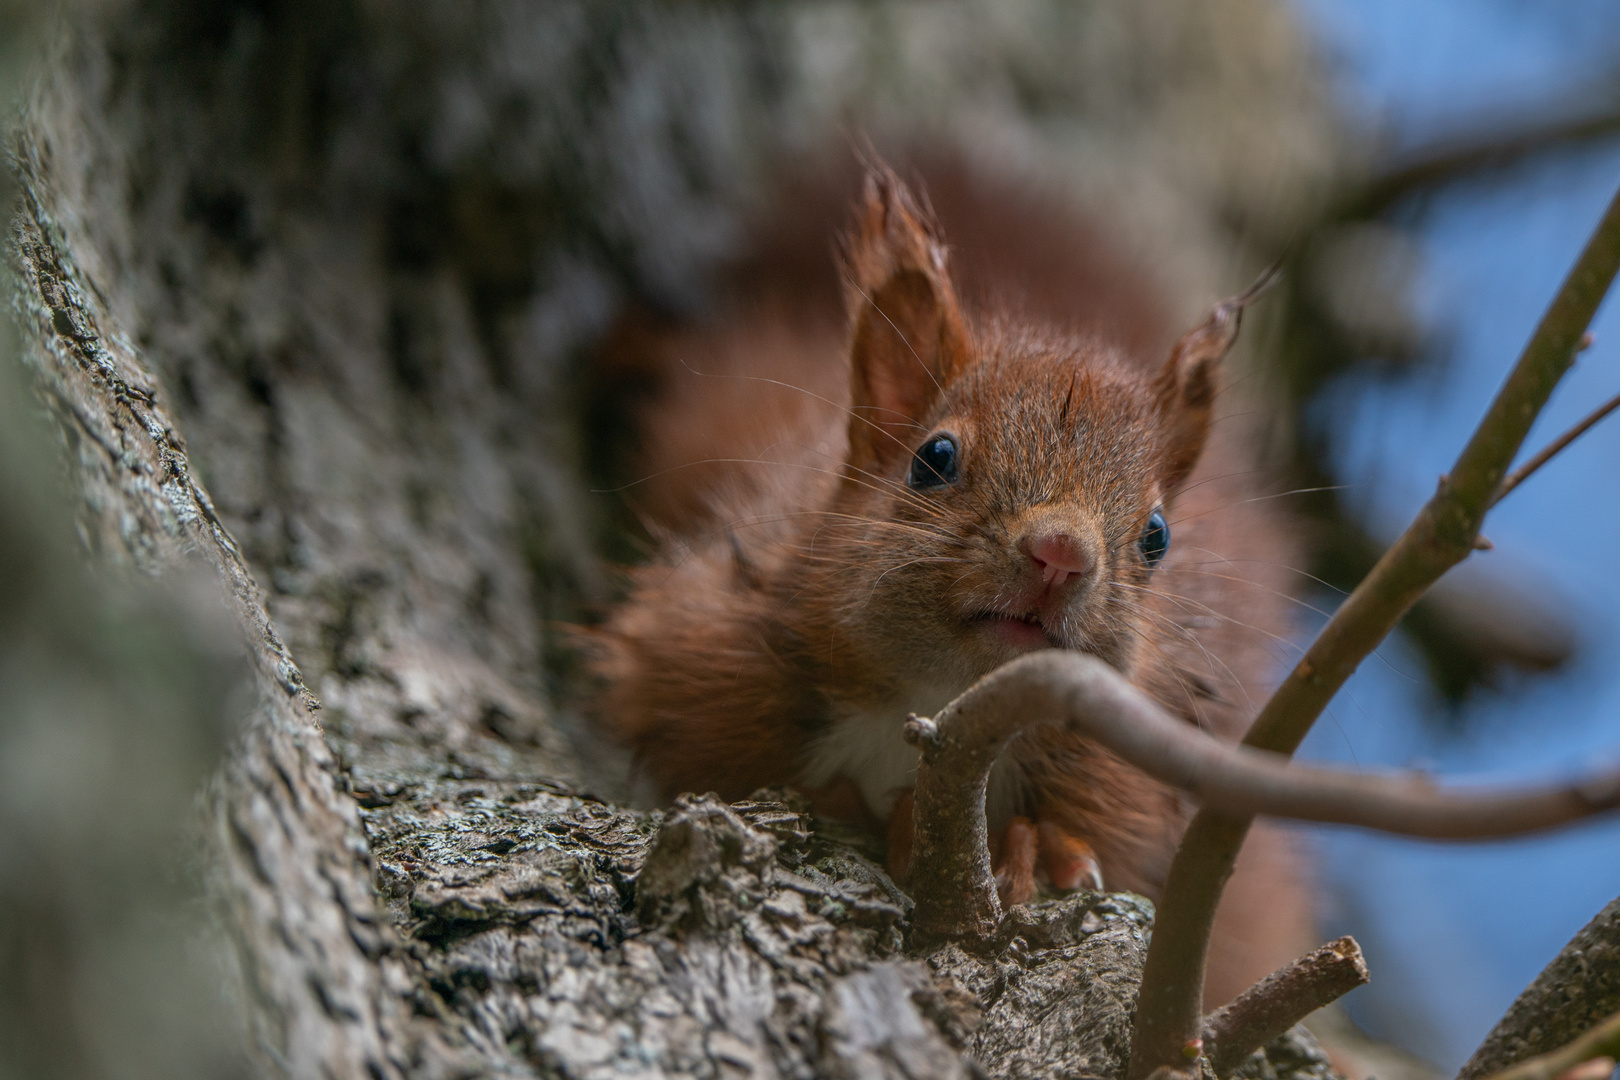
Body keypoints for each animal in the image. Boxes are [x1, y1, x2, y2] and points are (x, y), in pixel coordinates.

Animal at [589, 160, 1308, 1003]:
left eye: (1158, 537)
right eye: (933, 458)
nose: (1060, 553)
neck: (929, 703)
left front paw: (1030, 849)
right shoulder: (703, 642)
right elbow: (690, 747)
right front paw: (840, 803)